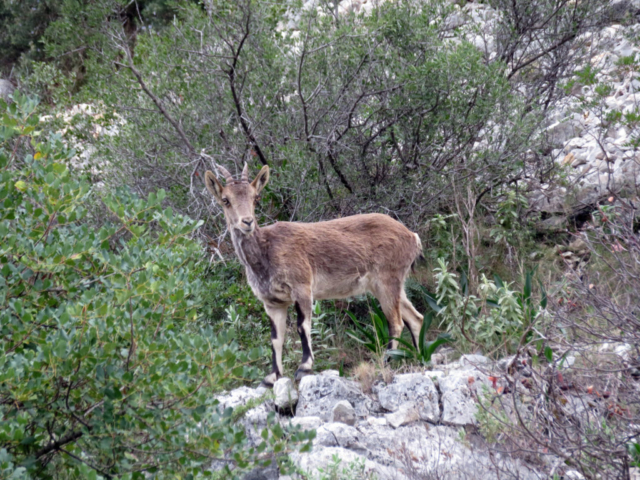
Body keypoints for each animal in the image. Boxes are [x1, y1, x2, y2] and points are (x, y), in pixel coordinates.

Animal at [206, 163, 424, 388]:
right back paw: (418, 358)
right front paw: (272, 377)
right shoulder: (273, 302)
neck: (266, 251)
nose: (247, 222)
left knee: (396, 322)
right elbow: (276, 338)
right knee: (415, 318)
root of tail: (412, 236)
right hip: (390, 285)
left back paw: (387, 360)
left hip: (387, 280)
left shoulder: (302, 287)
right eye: (226, 200)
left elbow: (302, 326)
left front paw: (304, 368)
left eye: (255, 197)